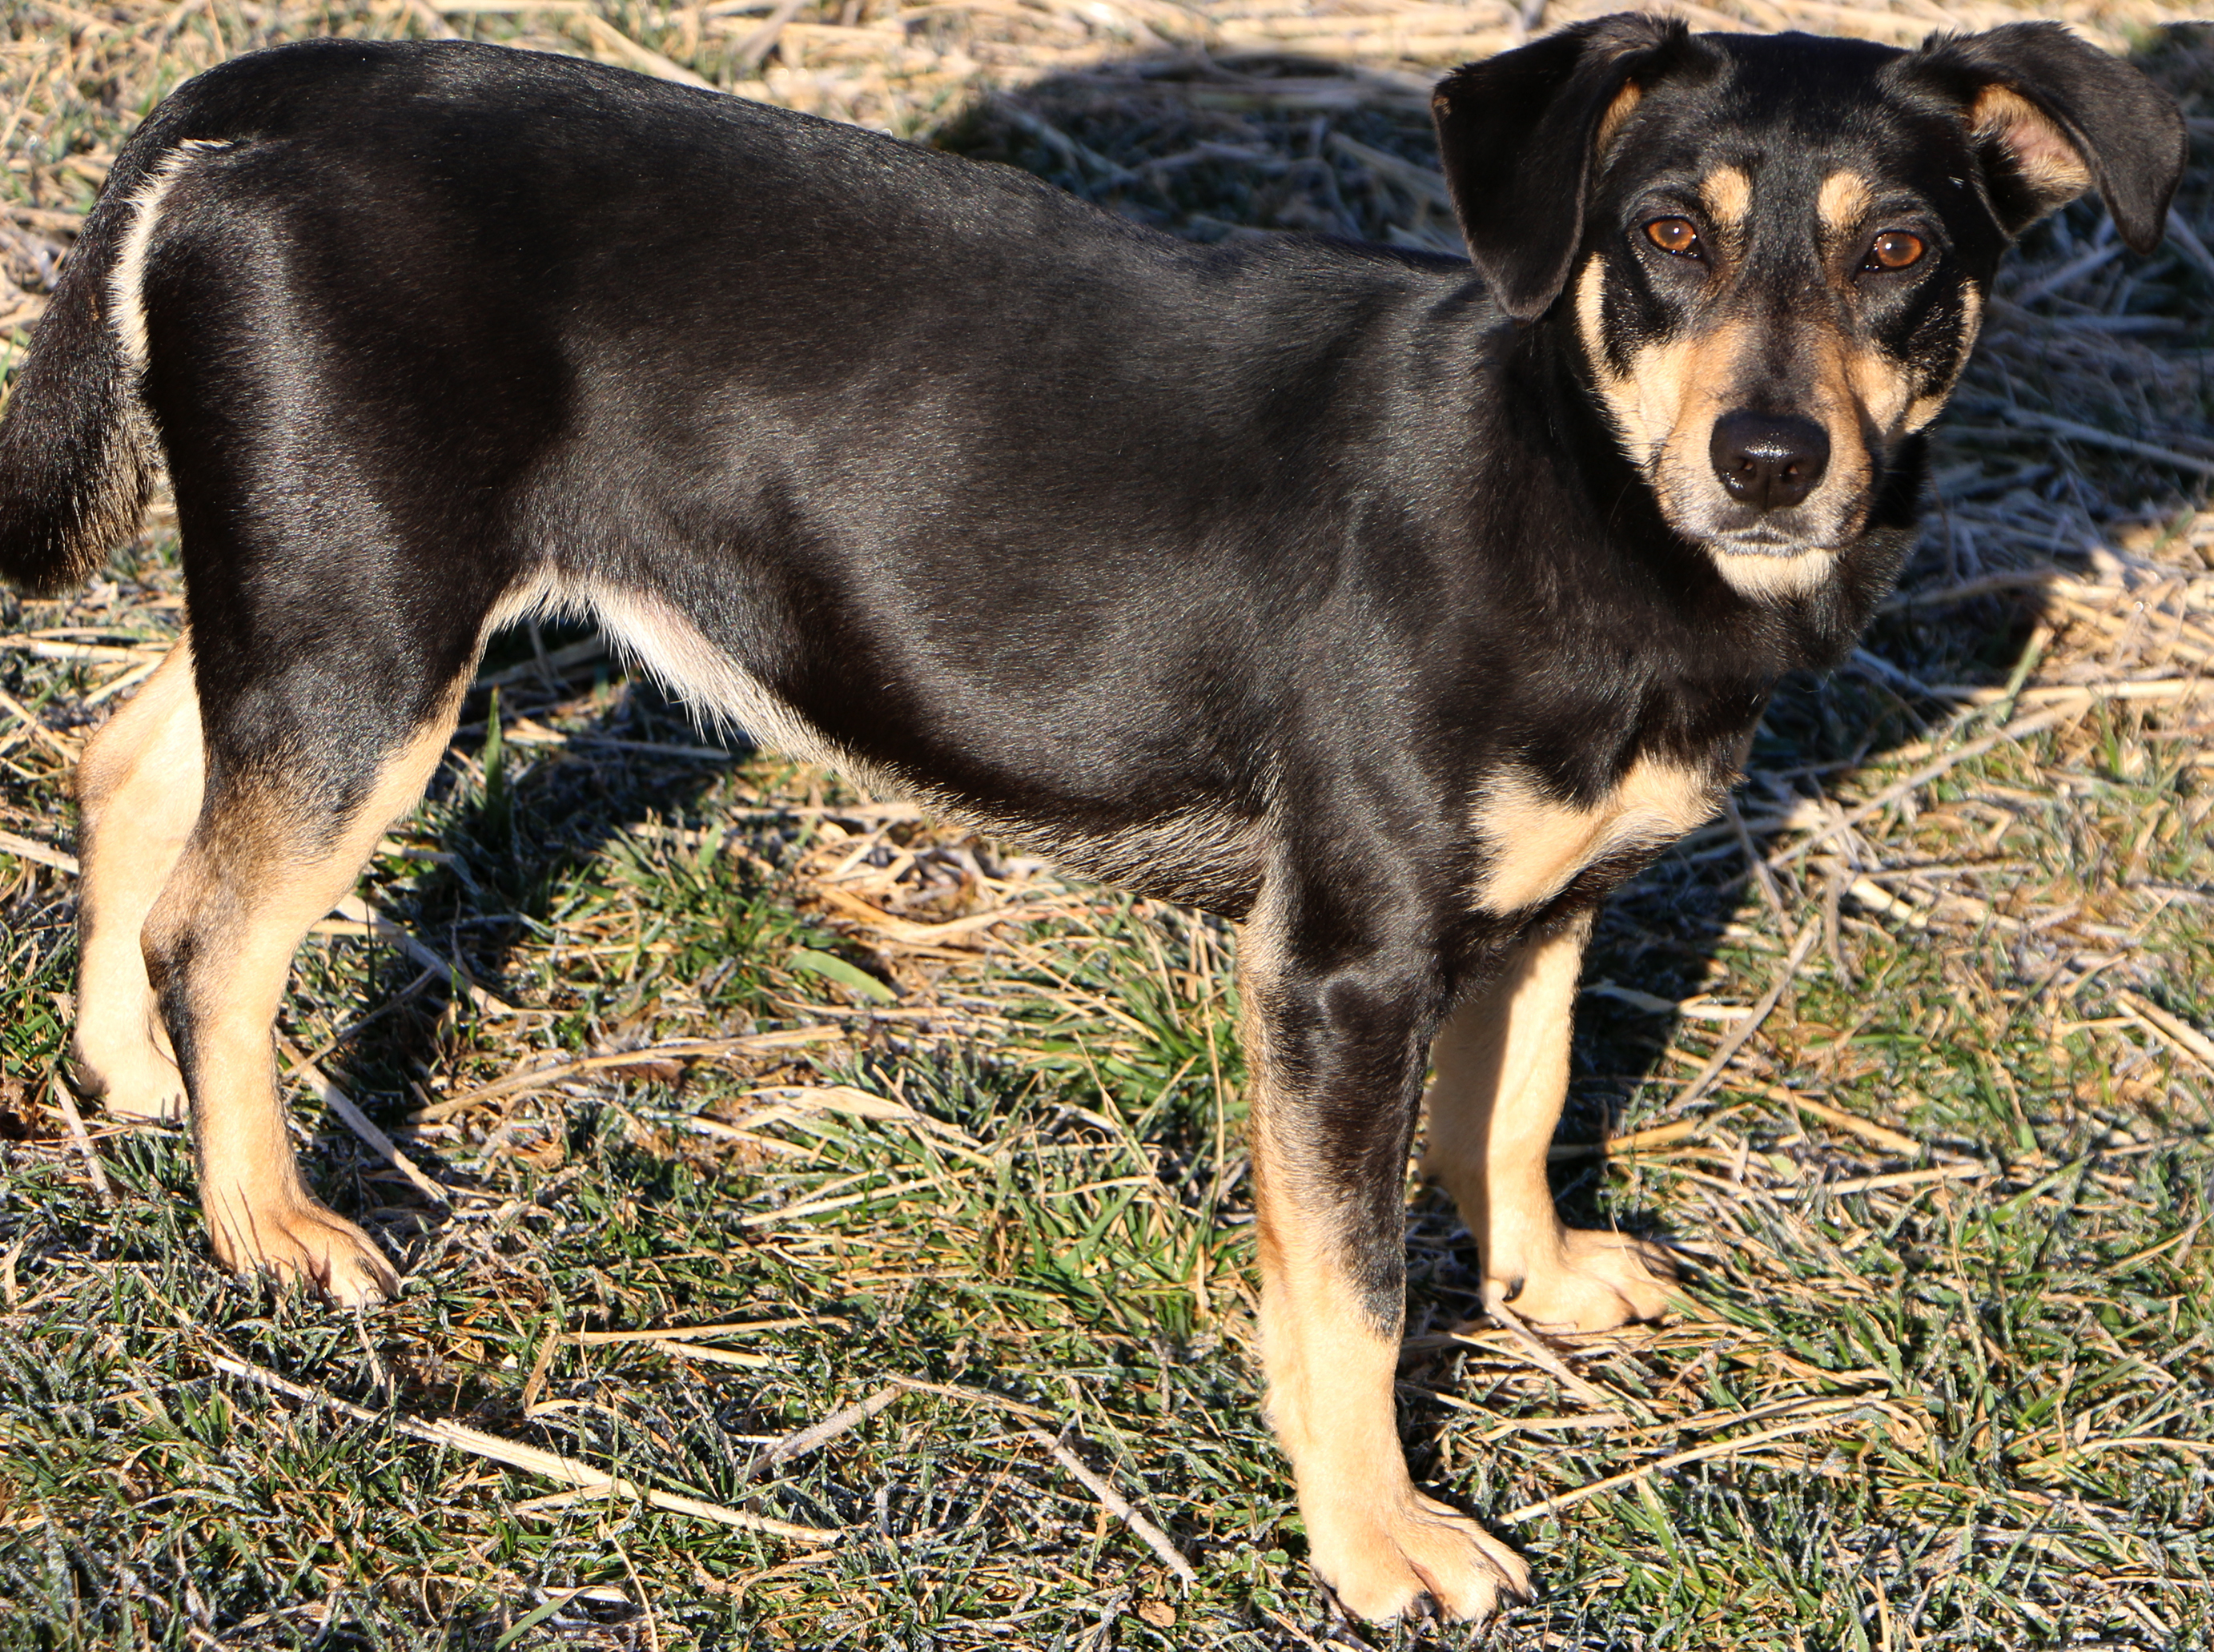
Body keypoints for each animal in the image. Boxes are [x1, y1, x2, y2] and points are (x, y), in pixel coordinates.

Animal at [0, 10, 2178, 1612]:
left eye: (1901, 253)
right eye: (1665, 238)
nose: (1769, 455)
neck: (1580, 485)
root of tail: (271, 95)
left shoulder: (1540, 906)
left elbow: (1526, 1102)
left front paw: (1544, 1278)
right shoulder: (1341, 960)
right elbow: (1350, 1280)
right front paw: (1378, 1538)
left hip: (337, 608)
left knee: (132, 755)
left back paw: (122, 1074)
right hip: (379, 637)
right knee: (221, 924)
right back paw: (271, 1222)